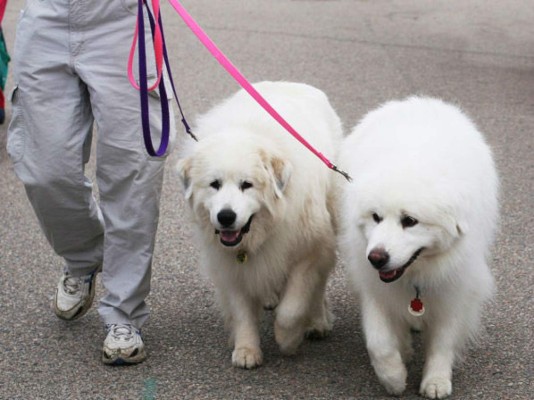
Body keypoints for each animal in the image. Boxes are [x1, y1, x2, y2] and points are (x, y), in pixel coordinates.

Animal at [177, 80, 344, 368]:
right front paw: (246, 349)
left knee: (318, 286)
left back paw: (317, 321)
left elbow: (292, 308)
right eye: (214, 184)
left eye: (247, 185)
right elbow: (242, 310)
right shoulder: (231, 266)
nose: (226, 216)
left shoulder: (309, 253)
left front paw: (288, 339)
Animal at [342, 96, 500, 396]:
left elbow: (443, 341)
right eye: (376, 217)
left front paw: (436, 381)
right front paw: (393, 377)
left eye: (410, 221)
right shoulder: (373, 284)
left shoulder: (456, 287)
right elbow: (379, 341)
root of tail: (419, 102)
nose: (376, 258)